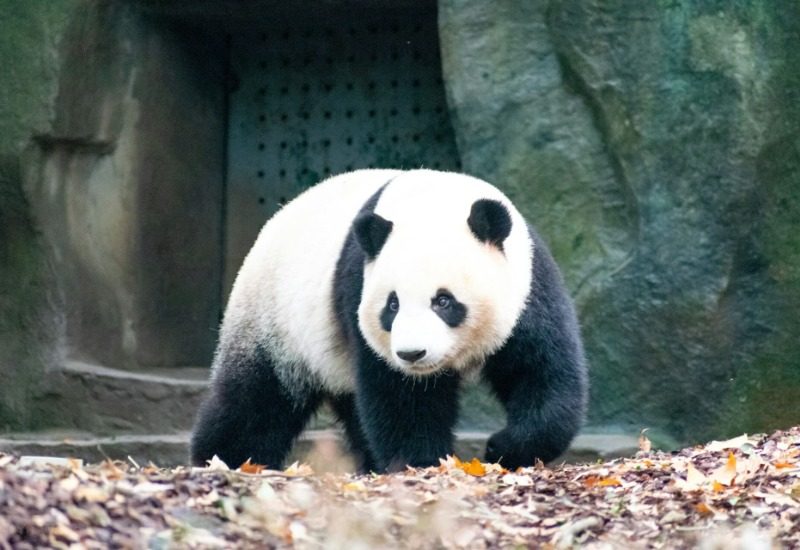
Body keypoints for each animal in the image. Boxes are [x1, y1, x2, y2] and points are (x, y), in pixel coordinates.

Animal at [189, 169, 588, 474]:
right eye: (392, 305)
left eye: (444, 301)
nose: (413, 354)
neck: (432, 201)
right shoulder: (358, 288)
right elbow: (401, 396)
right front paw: (423, 462)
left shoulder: (529, 288)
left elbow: (542, 372)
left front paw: (503, 447)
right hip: (274, 319)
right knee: (256, 398)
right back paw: (223, 458)